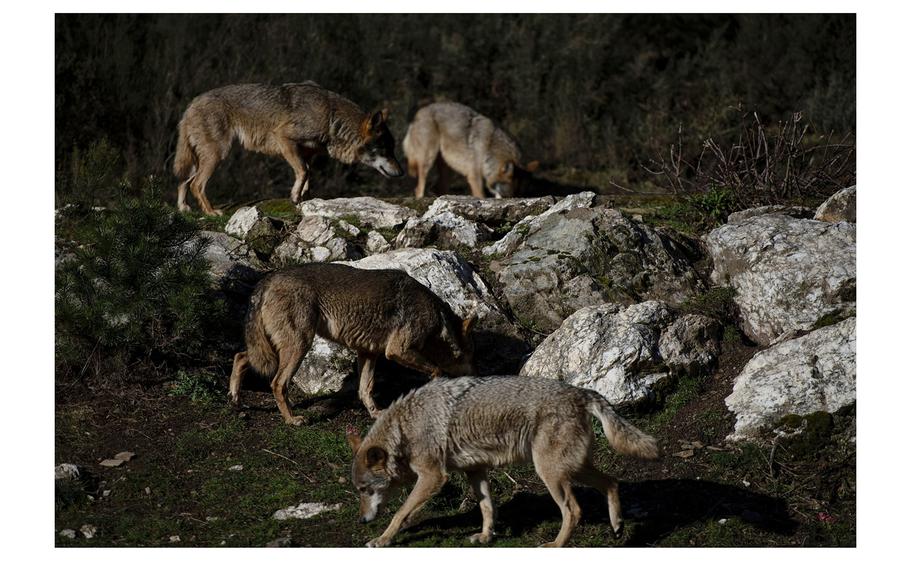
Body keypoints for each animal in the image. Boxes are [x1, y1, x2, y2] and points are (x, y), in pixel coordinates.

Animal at [175, 83, 402, 216]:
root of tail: (192, 104)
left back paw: (184, 208)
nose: (401, 172)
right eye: (386, 149)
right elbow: (303, 171)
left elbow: (308, 175)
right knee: (196, 185)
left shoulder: (307, 152)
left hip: (204, 159)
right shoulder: (284, 139)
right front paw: (294, 197)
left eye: (393, 149)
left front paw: (305, 198)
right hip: (218, 155)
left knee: (183, 182)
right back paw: (211, 212)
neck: (331, 118)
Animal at [228, 264, 478, 424]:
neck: (439, 322)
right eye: (473, 356)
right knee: (277, 383)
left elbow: (365, 389)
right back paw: (292, 419)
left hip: (272, 350)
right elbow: (436, 370)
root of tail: (267, 279)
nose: (477, 376)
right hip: (299, 346)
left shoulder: (368, 353)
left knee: (240, 357)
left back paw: (235, 400)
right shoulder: (397, 351)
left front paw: (376, 414)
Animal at [346, 374, 660, 548]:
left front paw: (382, 539)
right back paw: (617, 526)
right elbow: (487, 507)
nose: (361, 520)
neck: (405, 429)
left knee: (574, 510)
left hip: (550, 474)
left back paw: (555, 545)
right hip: (572, 468)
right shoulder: (475, 470)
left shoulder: (434, 477)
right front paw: (486, 537)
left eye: (364, 490)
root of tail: (582, 392)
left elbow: (400, 513)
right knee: (612, 482)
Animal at [402, 102, 536, 200]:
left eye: (518, 192)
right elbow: (481, 195)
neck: (489, 149)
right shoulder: (474, 176)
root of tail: (420, 112)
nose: (512, 198)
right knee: (419, 188)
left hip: (447, 169)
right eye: (509, 189)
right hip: (428, 159)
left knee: (438, 188)